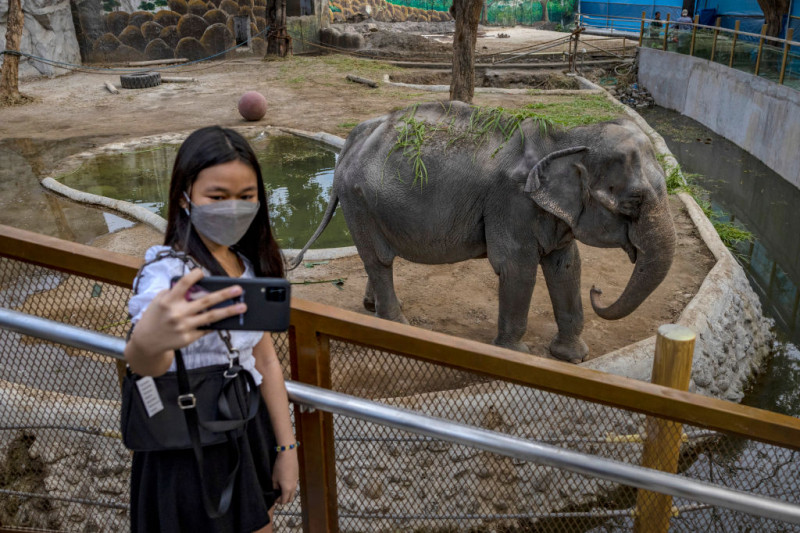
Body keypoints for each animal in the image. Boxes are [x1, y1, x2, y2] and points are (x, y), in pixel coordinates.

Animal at [290, 101, 676, 362]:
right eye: (633, 202)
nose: (599, 291)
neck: (566, 137)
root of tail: (354, 139)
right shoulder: (512, 203)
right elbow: (517, 268)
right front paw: (517, 354)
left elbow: (567, 266)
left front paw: (574, 357)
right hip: (357, 200)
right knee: (379, 259)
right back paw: (398, 324)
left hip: (365, 202)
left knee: (377, 259)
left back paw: (372, 307)